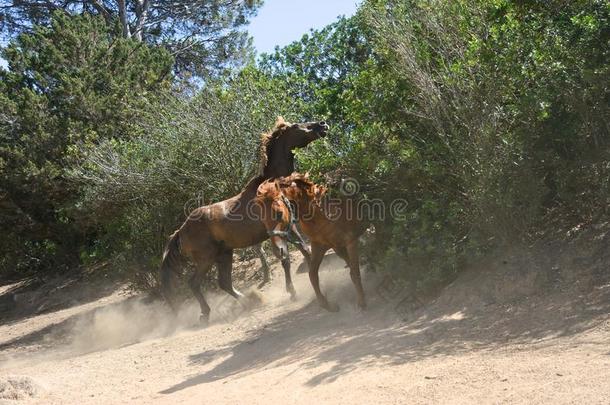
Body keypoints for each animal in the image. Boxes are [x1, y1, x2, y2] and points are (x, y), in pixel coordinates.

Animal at [159, 117, 326, 322]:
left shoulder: (290, 227)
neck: (271, 186)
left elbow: (305, 250)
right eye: (295, 126)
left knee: (224, 283)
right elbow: (285, 258)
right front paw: (292, 292)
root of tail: (180, 231)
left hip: (224, 255)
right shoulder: (276, 230)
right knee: (195, 283)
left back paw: (249, 301)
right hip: (206, 259)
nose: (322, 125)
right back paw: (206, 313)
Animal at [255, 172, 366, 310]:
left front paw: (361, 301)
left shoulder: (350, 241)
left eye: (279, 213)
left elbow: (355, 272)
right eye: (262, 219)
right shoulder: (322, 246)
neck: (320, 212)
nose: (278, 252)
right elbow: (312, 275)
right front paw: (327, 304)